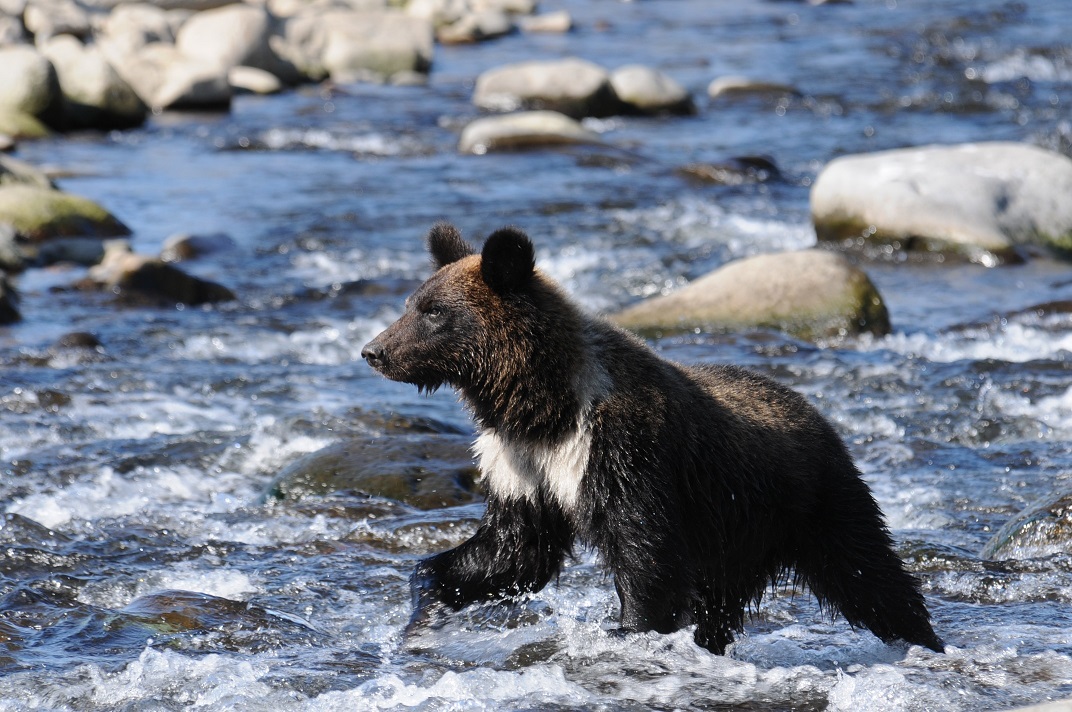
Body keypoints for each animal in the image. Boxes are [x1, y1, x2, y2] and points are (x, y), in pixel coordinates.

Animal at [364, 224, 943, 656]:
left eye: (433, 312)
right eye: (413, 302)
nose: (374, 350)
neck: (541, 409)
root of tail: (816, 412)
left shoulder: (621, 449)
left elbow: (647, 555)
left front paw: (631, 629)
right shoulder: (524, 465)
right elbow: (512, 550)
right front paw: (425, 603)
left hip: (810, 501)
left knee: (869, 574)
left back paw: (924, 639)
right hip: (735, 539)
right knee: (722, 606)